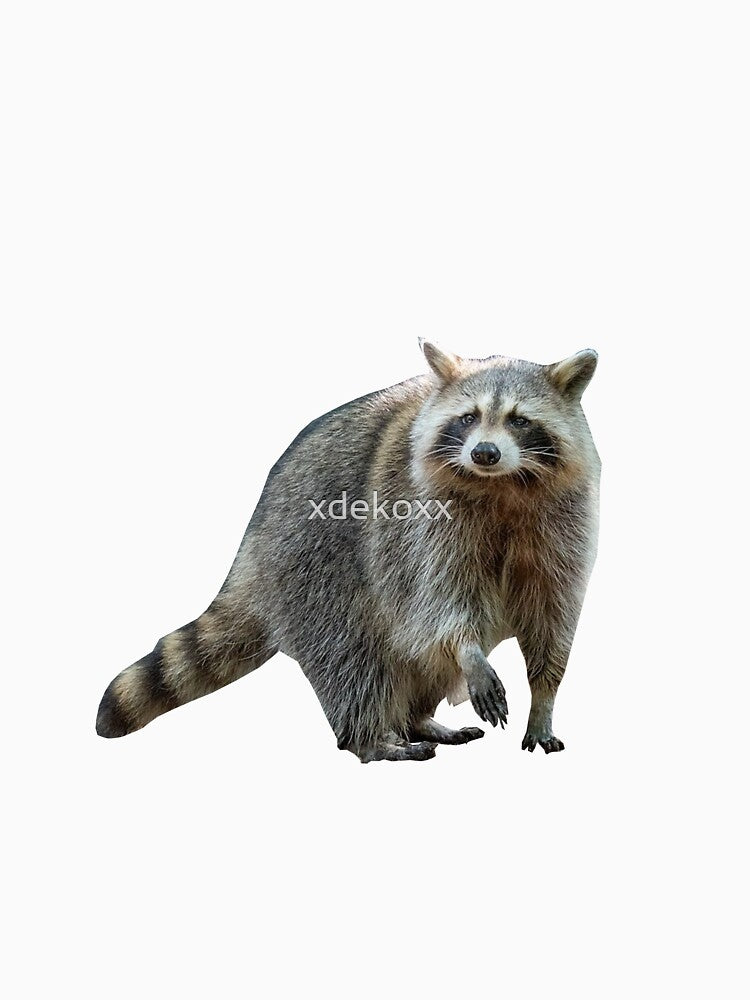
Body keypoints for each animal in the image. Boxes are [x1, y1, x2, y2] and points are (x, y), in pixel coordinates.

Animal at [97, 342, 600, 762]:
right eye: (468, 417)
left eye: (520, 419)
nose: (485, 453)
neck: (502, 485)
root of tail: (253, 541)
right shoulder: (415, 520)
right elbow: (439, 600)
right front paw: (469, 650)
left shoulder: (564, 523)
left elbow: (552, 612)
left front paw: (544, 697)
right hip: (312, 564)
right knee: (353, 653)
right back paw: (372, 738)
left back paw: (419, 719)